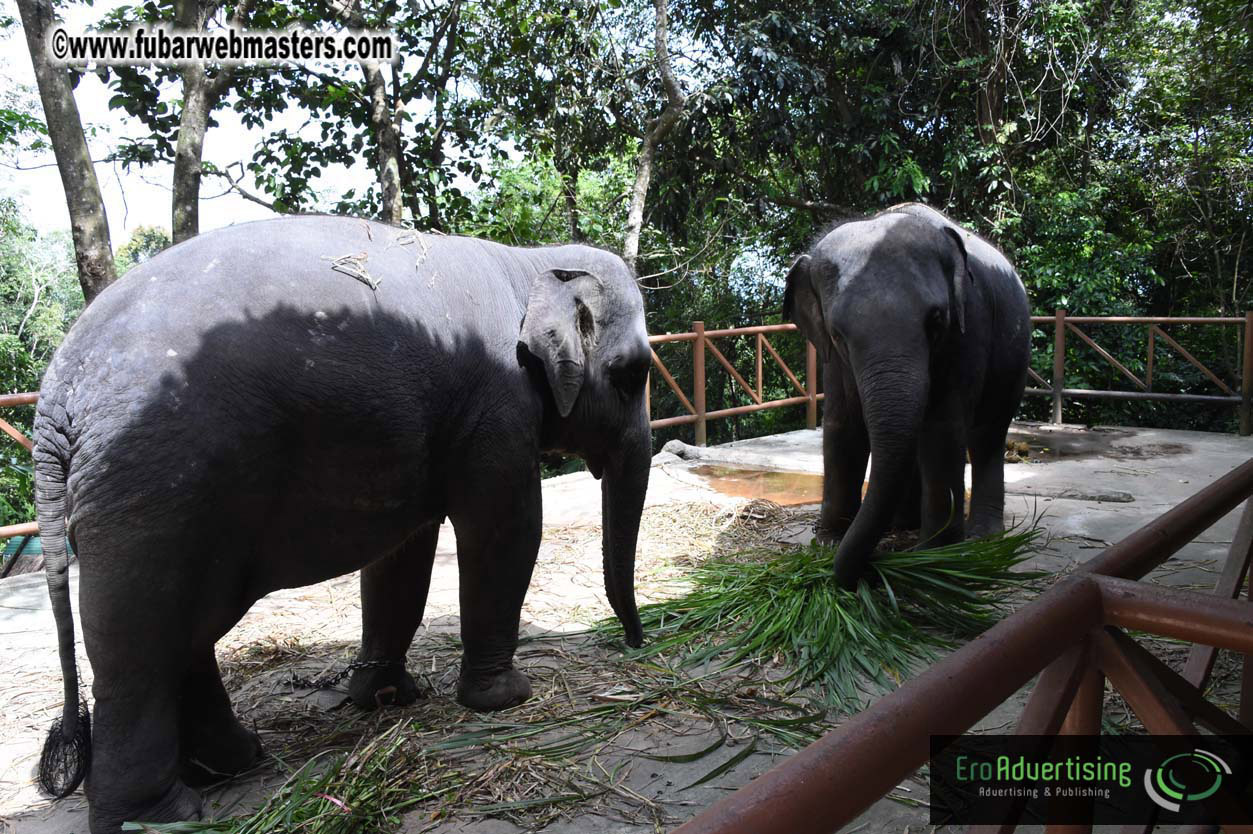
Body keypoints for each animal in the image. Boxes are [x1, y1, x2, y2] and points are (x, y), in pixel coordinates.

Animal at [31, 215, 653, 834]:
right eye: (632, 374)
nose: (634, 642)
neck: (531, 262)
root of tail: (55, 402)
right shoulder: (498, 406)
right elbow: (506, 529)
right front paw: (507, 698)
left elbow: (402, 557)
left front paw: (386, 698)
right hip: (155, 487)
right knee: (139, 647)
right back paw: (163, 815)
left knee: (181, 633)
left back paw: (234, 761)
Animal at [783, 202, 1030, 589]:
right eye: (838, 333)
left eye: (937, 320)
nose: (874, 566)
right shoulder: (832, 358)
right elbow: (843, 424)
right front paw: (827, 543)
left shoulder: (969, 327)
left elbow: (942, 428)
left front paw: (936, 554)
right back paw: (902, 525)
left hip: (1014, 352)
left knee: (987, 434)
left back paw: (983, 537)